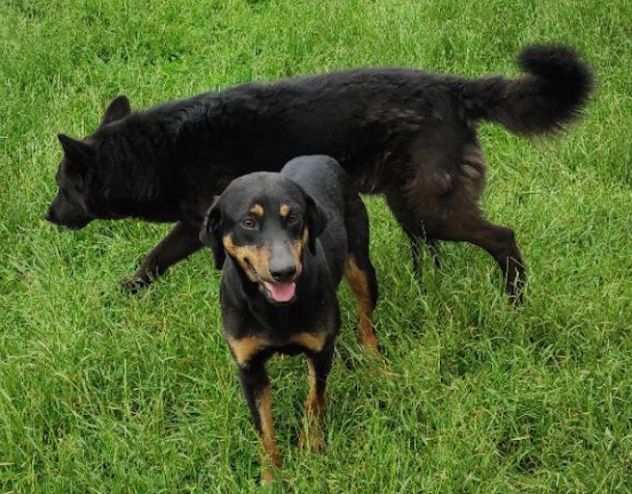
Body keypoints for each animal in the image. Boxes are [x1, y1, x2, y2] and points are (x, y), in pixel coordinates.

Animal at [45, 45, 592, 302]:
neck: (157, 150)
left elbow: (155, 257)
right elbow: (156, 261)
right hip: (411, 205)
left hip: (431, 208)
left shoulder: (198, 225)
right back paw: (426, 290)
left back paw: (514, 301)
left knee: (503, 237)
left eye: (61, 185)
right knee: (428, 250)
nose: (48, 216)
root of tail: (454, 88)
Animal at [202, 155, 378, 482]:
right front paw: (271, 476)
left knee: (366, 316)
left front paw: (311, 446)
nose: (284, 271)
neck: (271, 308)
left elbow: (315, 400)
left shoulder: (320, 351)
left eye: (293, 217)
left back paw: (373, 357)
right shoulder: (249, 369)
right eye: (248, 222)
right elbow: (264, 428)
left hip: (361, 264)